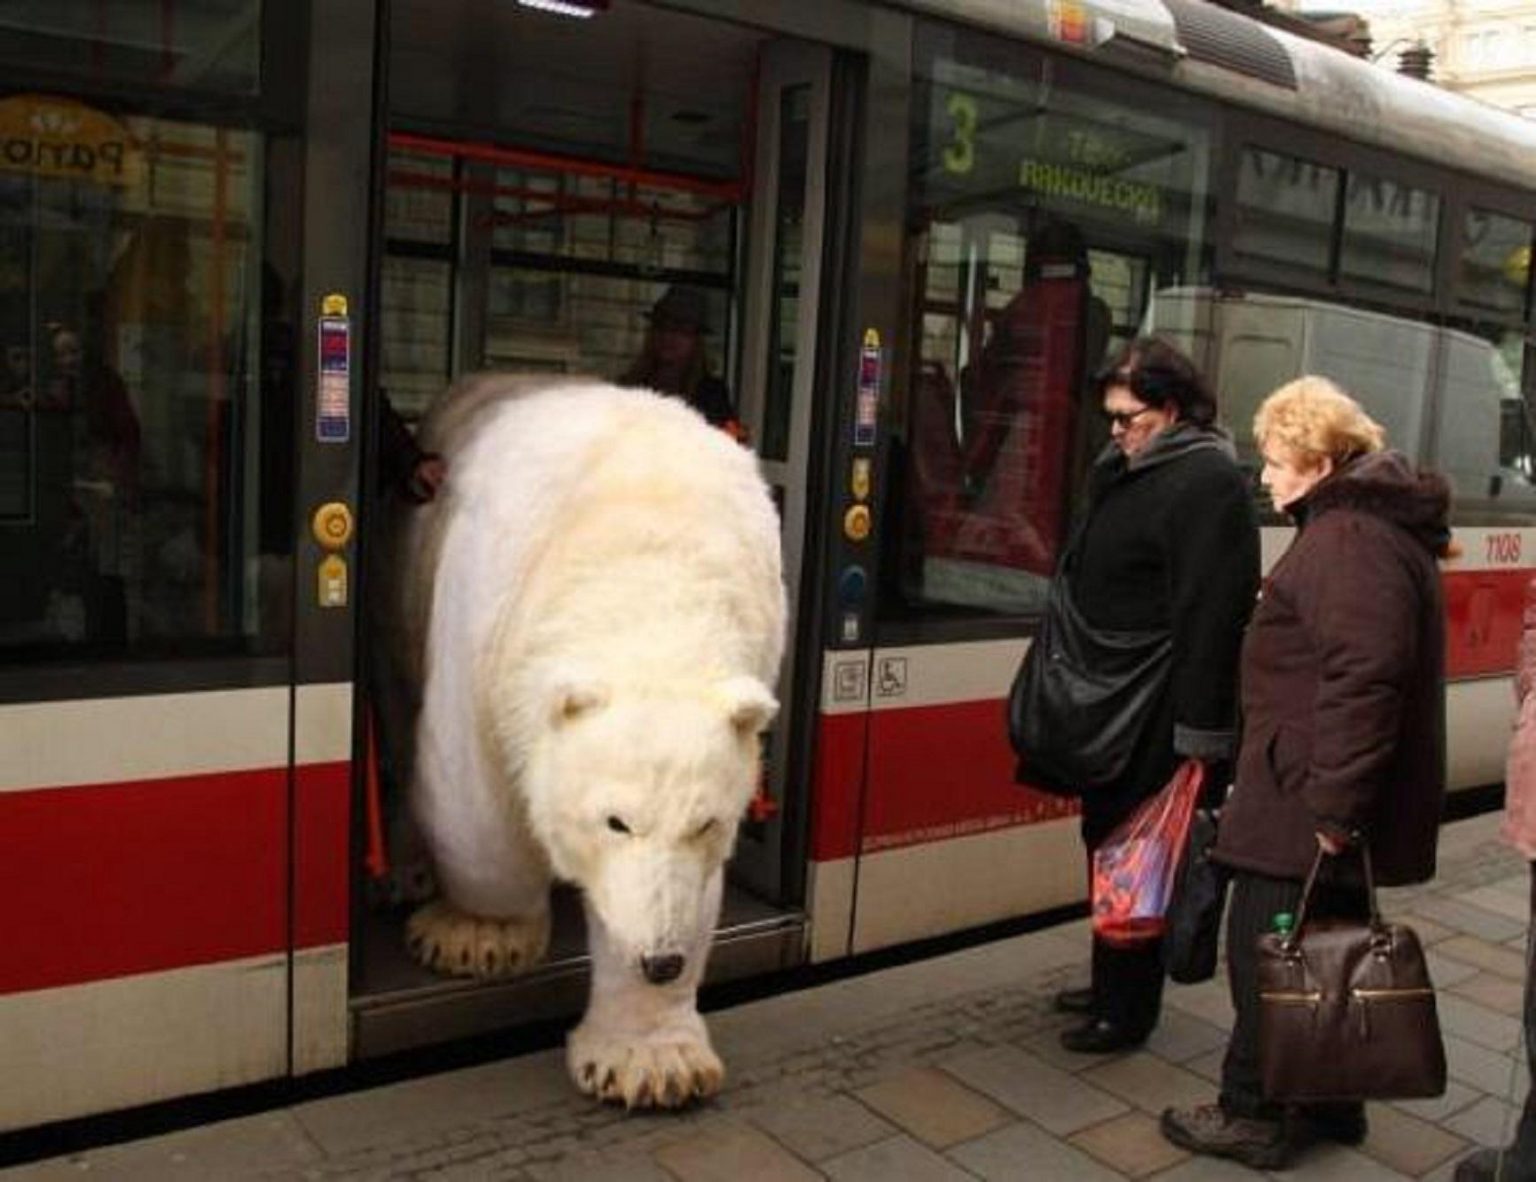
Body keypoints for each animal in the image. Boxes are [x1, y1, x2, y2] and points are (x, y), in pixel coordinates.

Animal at [378, 374, 786, 1109]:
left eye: (707, 822)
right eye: (615, 820)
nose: (661, 960)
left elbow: (693, 888)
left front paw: (655, 1062)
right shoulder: (487, 624)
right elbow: (476, 802)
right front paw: (477, 936)